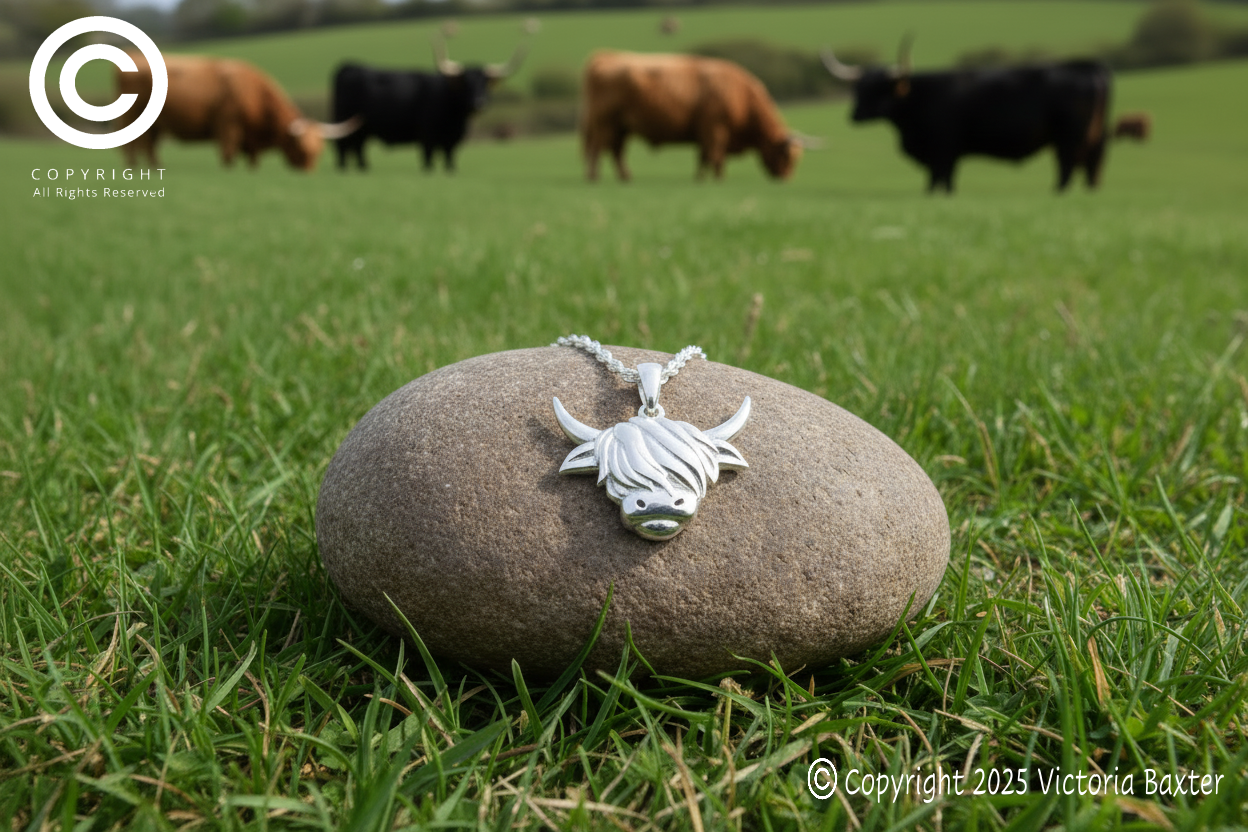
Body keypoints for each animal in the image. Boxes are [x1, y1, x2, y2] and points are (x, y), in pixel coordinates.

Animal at [115, 54, 359, 170]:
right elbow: (228, 156)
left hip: (154, 125)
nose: (309, 171)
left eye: (320, 149)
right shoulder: (228, 127)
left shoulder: (251, 140)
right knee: (133, 145)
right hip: (132, 118)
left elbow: (253, 161)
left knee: (148, 146)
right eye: (300, 147)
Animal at [331, 37, 525, 172]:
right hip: (345, 121)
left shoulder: (452, 140)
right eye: (465, 82)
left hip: (362, 129)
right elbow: (428, 162)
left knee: (357, 148)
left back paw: (363, 169)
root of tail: (348, 66)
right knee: (343, 147)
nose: (479, 102)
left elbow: (449, 162)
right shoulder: (427, 136)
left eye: (485, 83)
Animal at [580, 50, 817, 182]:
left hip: (621, 128)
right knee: (597, 149)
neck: (742, 98)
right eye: (787, 157)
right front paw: (719, 179)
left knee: (615, 152)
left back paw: (625, 177)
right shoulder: (715, 130)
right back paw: (594, 177)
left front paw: (700, 178)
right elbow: (715, 157)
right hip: (605, 124)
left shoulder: (705, 134)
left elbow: (703, 157)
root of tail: (604, 57)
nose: (786, 179)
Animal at [822, 39, 1112, 193]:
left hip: (1069, 138)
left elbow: (938, 184)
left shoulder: (943, 149)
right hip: (1093, 137)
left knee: (1067, 169)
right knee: (1092, 169)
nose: (854, 115)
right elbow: (944, 184)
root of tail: (1089, 66)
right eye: (858, 88)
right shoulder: (945, 153)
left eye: (877, 88)